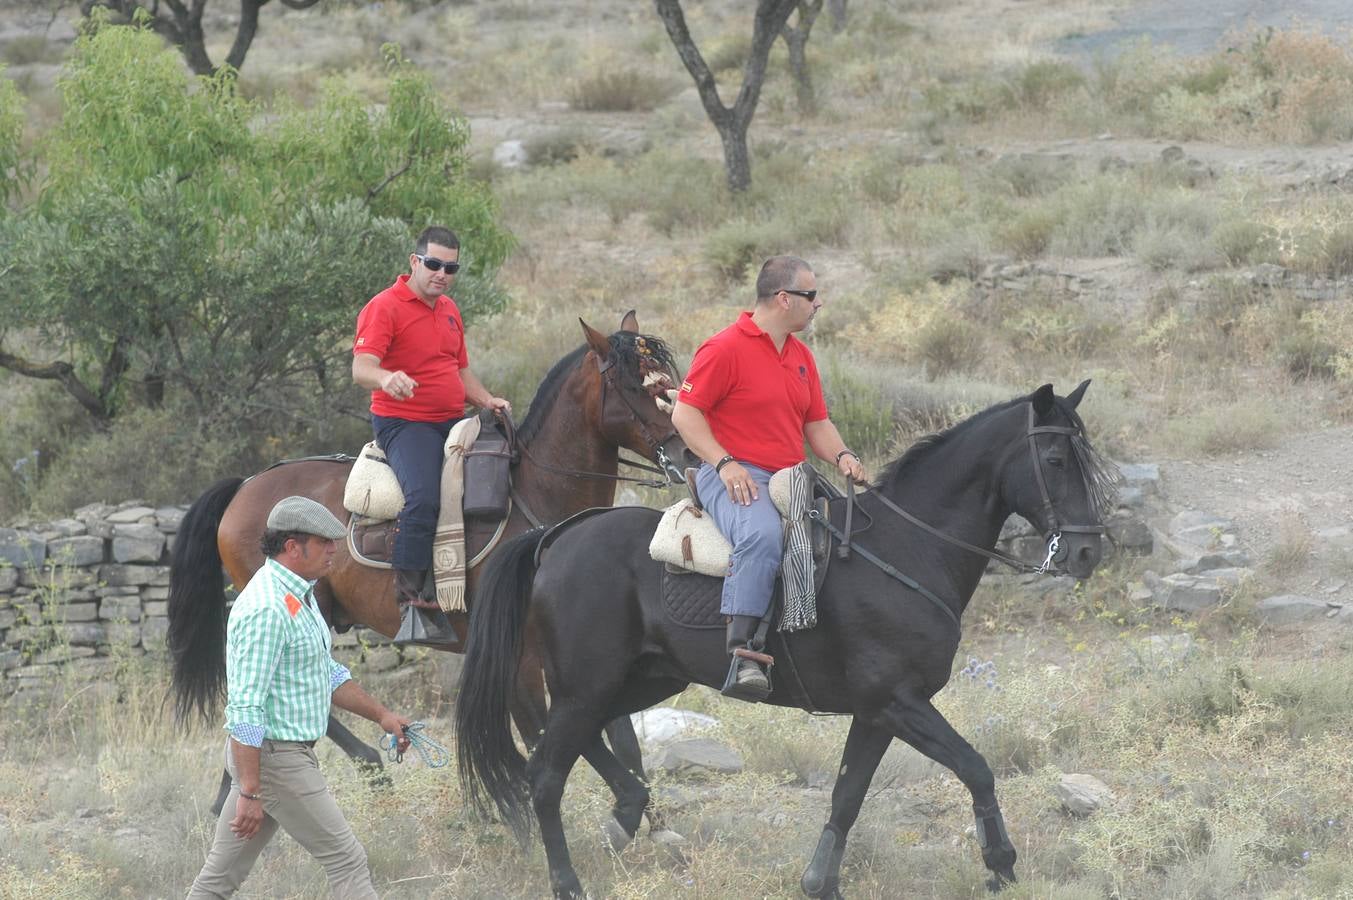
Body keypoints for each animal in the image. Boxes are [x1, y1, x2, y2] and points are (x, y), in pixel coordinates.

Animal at [170, 313, 692, 806]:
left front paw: (652, 820)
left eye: (668, 377)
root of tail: (244, 486)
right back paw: (368, 765)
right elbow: (544, 738)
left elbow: (621, 738)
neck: (536, 496)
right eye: (632, 385)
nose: (688, 453)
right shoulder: (520, 660)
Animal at [460, 381, 1114, 898]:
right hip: (586, 687)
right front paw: (1000, 865)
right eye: (1055, 458)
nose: (1086, 551)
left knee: (568, 749)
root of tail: (556, 538)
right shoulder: (899, 703)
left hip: (639, 681)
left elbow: (848, 796)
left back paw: (625, 812)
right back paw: (569, 881)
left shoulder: (877, 713)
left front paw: (820, 883)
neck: (908, 548)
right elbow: (977, 768)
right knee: (546, 776)